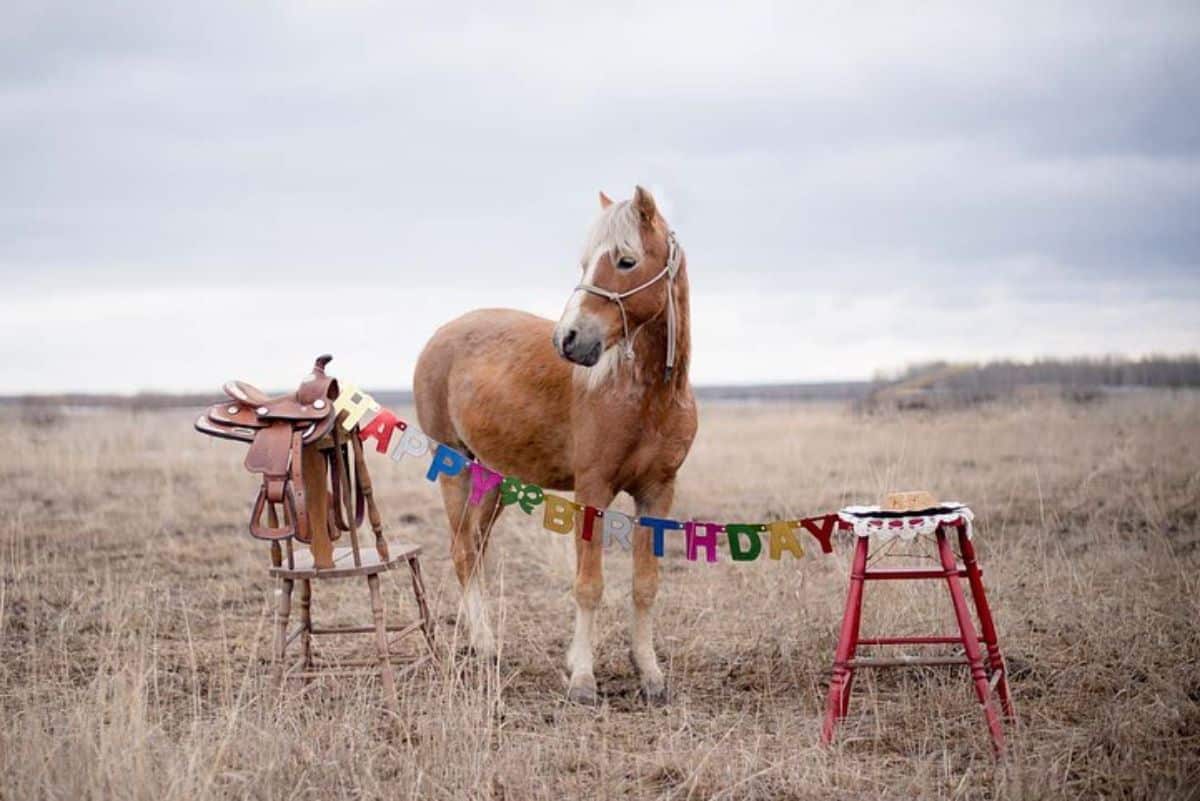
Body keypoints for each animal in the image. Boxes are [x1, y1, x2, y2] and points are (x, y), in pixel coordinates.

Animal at [415, 185, 700, 700]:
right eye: (585, 262)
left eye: (626, 261)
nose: (569, 339)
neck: (645, 394)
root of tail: (440, 336)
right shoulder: (593, 491)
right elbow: (588, 584)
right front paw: (583, 677)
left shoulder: (657, 492)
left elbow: (646, 584)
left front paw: (649, 673)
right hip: (455, 467)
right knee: (464, 552)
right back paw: (484, 645)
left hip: (494, 479)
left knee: (475, 549)